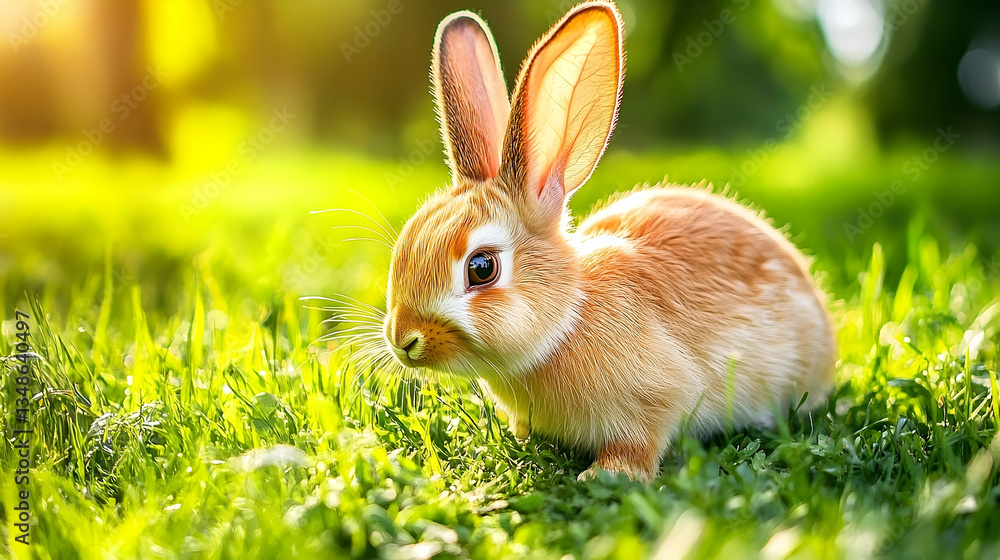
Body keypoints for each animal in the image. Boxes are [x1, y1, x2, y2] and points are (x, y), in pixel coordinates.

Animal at [380, 0, 837, 482]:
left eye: (481, 268)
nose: (402, 339)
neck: (566, 320)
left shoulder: (655, 400)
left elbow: (640, 444)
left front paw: (605, 475)